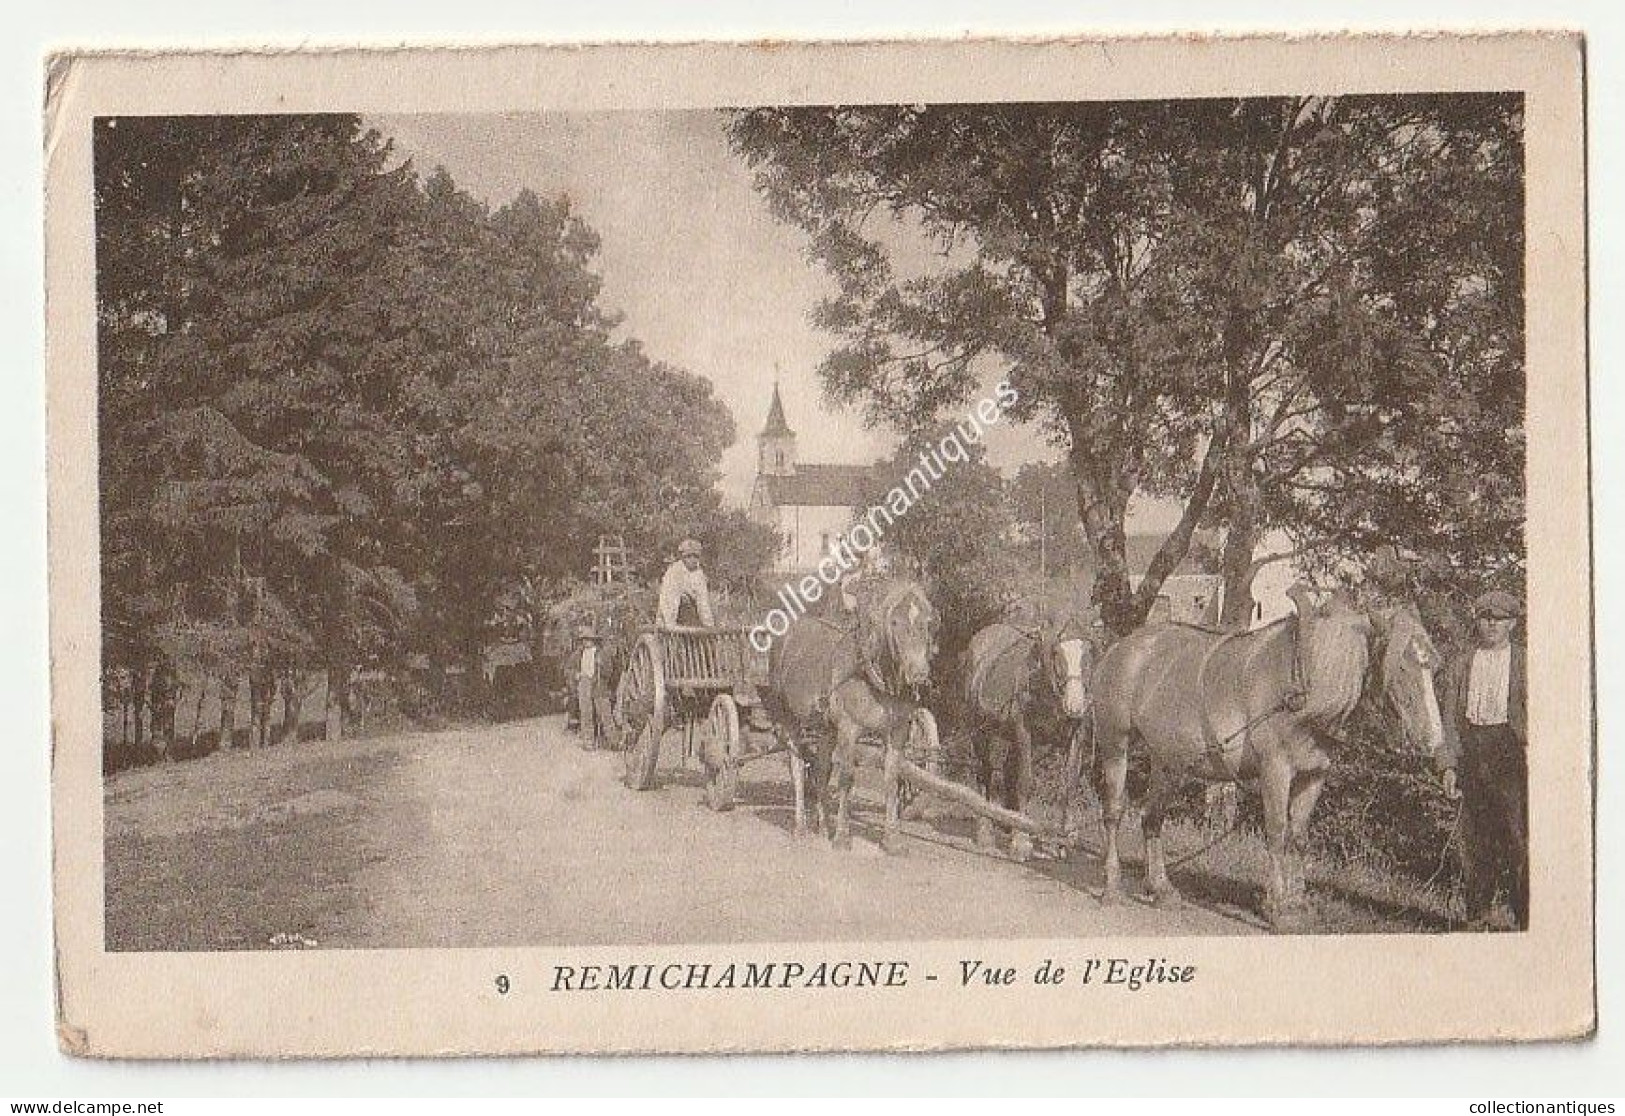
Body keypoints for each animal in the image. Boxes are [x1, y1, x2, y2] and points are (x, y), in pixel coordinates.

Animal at [760, 581, 942, 851]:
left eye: (927, 622)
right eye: (894, 622)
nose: (918, 674)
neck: (870, 674)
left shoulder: (897, 731)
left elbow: (892, 778)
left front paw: (892, 839)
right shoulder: (849, 729)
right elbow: (846, 777)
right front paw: (843, 836)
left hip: (825, 726)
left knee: (821, 770)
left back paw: (822, 826)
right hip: (788, 715)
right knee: (797, 766)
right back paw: (801, 827)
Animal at [955, 614, 1098, 857]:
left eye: (1088, 653)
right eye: (1056, 652)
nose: (1075, 705)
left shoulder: (1075, 737)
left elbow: (1068, 787)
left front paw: (1064, 841)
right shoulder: (1024, 733)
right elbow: (1025, 781)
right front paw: (1021, 840)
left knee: (1004, 774)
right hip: (981, 731)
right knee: (986, 774)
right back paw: (986, 832)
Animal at [1085, 584, 1443, 935]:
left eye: (1434, 667)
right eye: (1401, 666)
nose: (1433, 740)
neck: (1305, 679)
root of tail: (1120, 647)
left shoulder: (1314, 774)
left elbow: (1299, 836)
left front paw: (1298, 904)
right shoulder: (1276, 769)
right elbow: (1276, 832)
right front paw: (1278, 906)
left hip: (1169, 760)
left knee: (1152, 817)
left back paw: (1162, 889)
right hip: (1114, 742)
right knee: (1114, 811)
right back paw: (1112, 887)